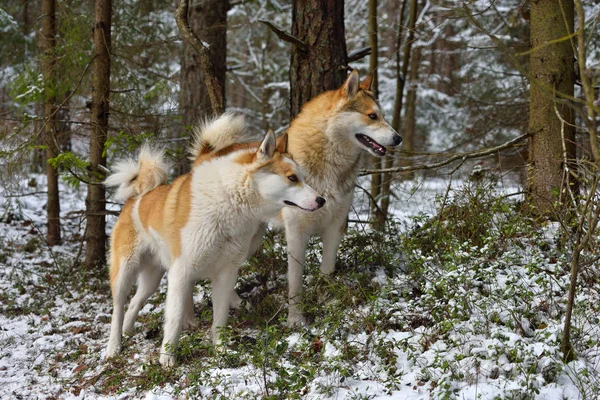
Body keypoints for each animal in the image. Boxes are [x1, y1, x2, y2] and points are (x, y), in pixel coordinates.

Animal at [105, 114, 326, 368]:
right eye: (292, 178)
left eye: (303, 178)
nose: (322, 200)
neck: (230, 199)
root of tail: (136, 198)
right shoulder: (182, 271)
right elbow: (173, 318)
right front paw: (168, 357)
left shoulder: (226, 273)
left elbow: (220, 318)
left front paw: (221, 352)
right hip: (125, 271)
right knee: (118, 309)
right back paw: (113, 347)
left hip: (154, 277)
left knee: (135, 302)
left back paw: (128, 330)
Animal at [223, 69, 400, 324]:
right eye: (372, 116)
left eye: (383, 116)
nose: (398, 138)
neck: (330, 165)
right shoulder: (297, 233)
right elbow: (295, 283)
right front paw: (295, 320)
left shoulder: (336, 226)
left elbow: (327, 270)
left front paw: (326, 299)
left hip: (252, 241)